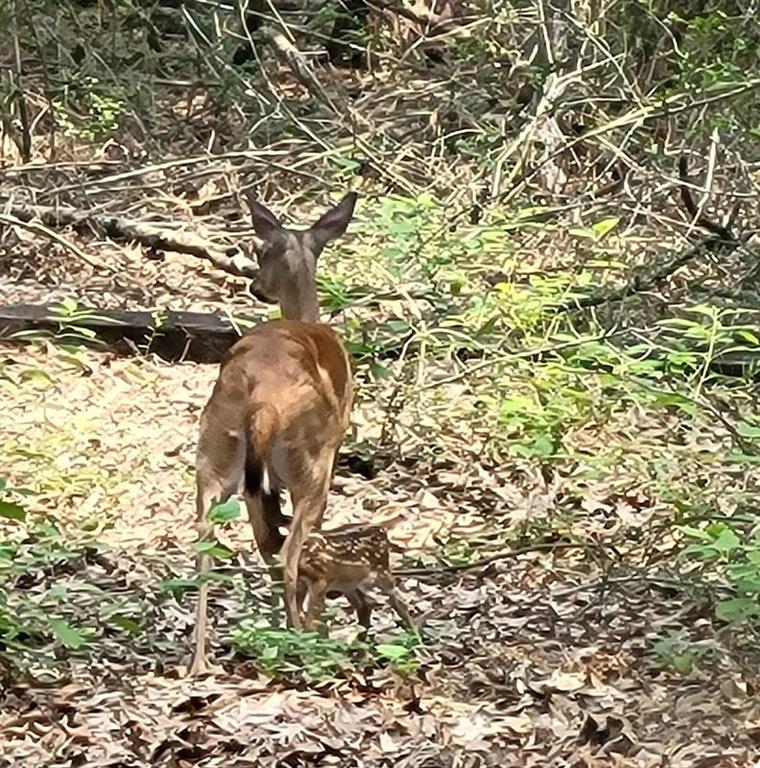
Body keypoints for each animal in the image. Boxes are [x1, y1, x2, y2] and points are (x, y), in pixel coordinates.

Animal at [189, 192, 358, 680]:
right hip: (311, 463)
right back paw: (304, 641)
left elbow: (265, 543)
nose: (256, 288)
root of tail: (261, 398)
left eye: (261, 251)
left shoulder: (256, 487)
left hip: (215, 451)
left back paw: (201, 660)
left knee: (209, 544)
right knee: (291, 552)